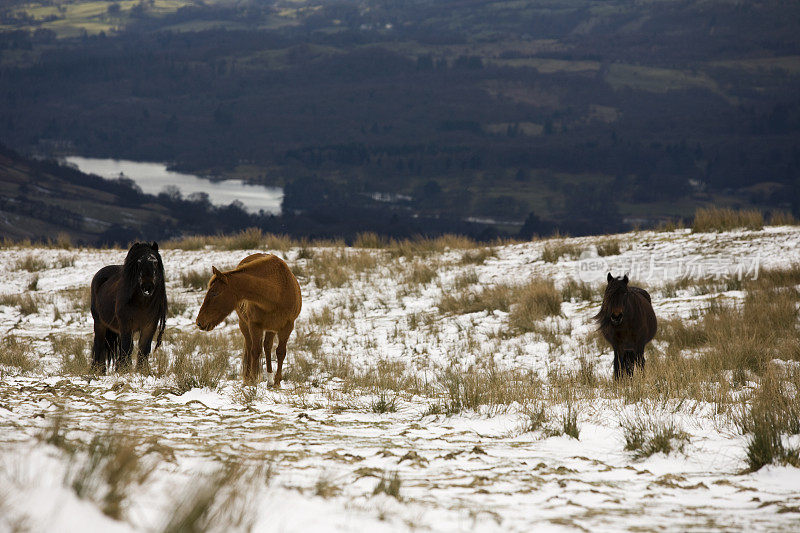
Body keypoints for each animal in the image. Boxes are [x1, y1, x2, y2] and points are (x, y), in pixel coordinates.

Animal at [90, 242, 166, 372]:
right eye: (138, 262)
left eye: (155, 262)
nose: (147, 287)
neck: (142, 304)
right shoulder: (126, 325)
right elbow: (127, 348)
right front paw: (124, 370)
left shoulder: (149, 326)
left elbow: (144, 349)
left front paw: (141, 371)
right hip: (99, 323)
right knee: (99, 345)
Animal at [197, 251, 304, 384]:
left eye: (215, 293)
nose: (199, 322)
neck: (277, 292)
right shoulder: (254, 325)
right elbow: (255, 351)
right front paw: (252, 380)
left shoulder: (287, 326)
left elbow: (280, 352)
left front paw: (277, 382)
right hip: (244, 325)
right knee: (250, 347)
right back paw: (248, 378)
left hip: (271, 327)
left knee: (267, 347)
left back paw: (269, 380)